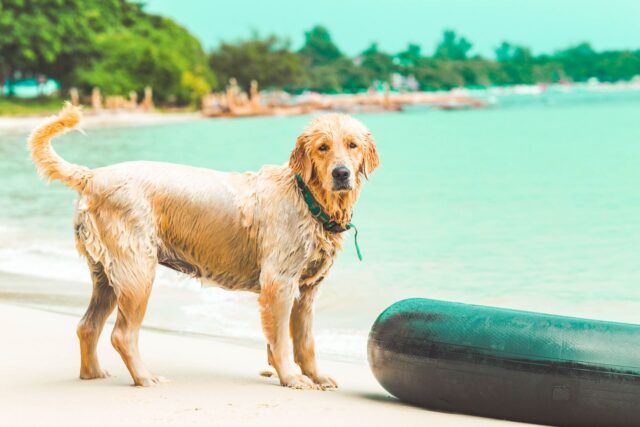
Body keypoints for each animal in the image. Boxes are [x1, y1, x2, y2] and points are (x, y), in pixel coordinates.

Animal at [30, 104, 378, 392]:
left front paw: (316, 376)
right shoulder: (279, 283)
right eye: (323, 147)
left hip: (105, 275)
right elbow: (280, 340)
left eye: (352, 145)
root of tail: (92, 175)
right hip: (137, 270)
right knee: (122, 334)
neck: (307, 199)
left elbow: (306, 342)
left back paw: (93, 374)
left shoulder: (307, 290)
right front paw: (292, 378)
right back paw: (145, 377)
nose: (341, 173)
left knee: (87, 326)